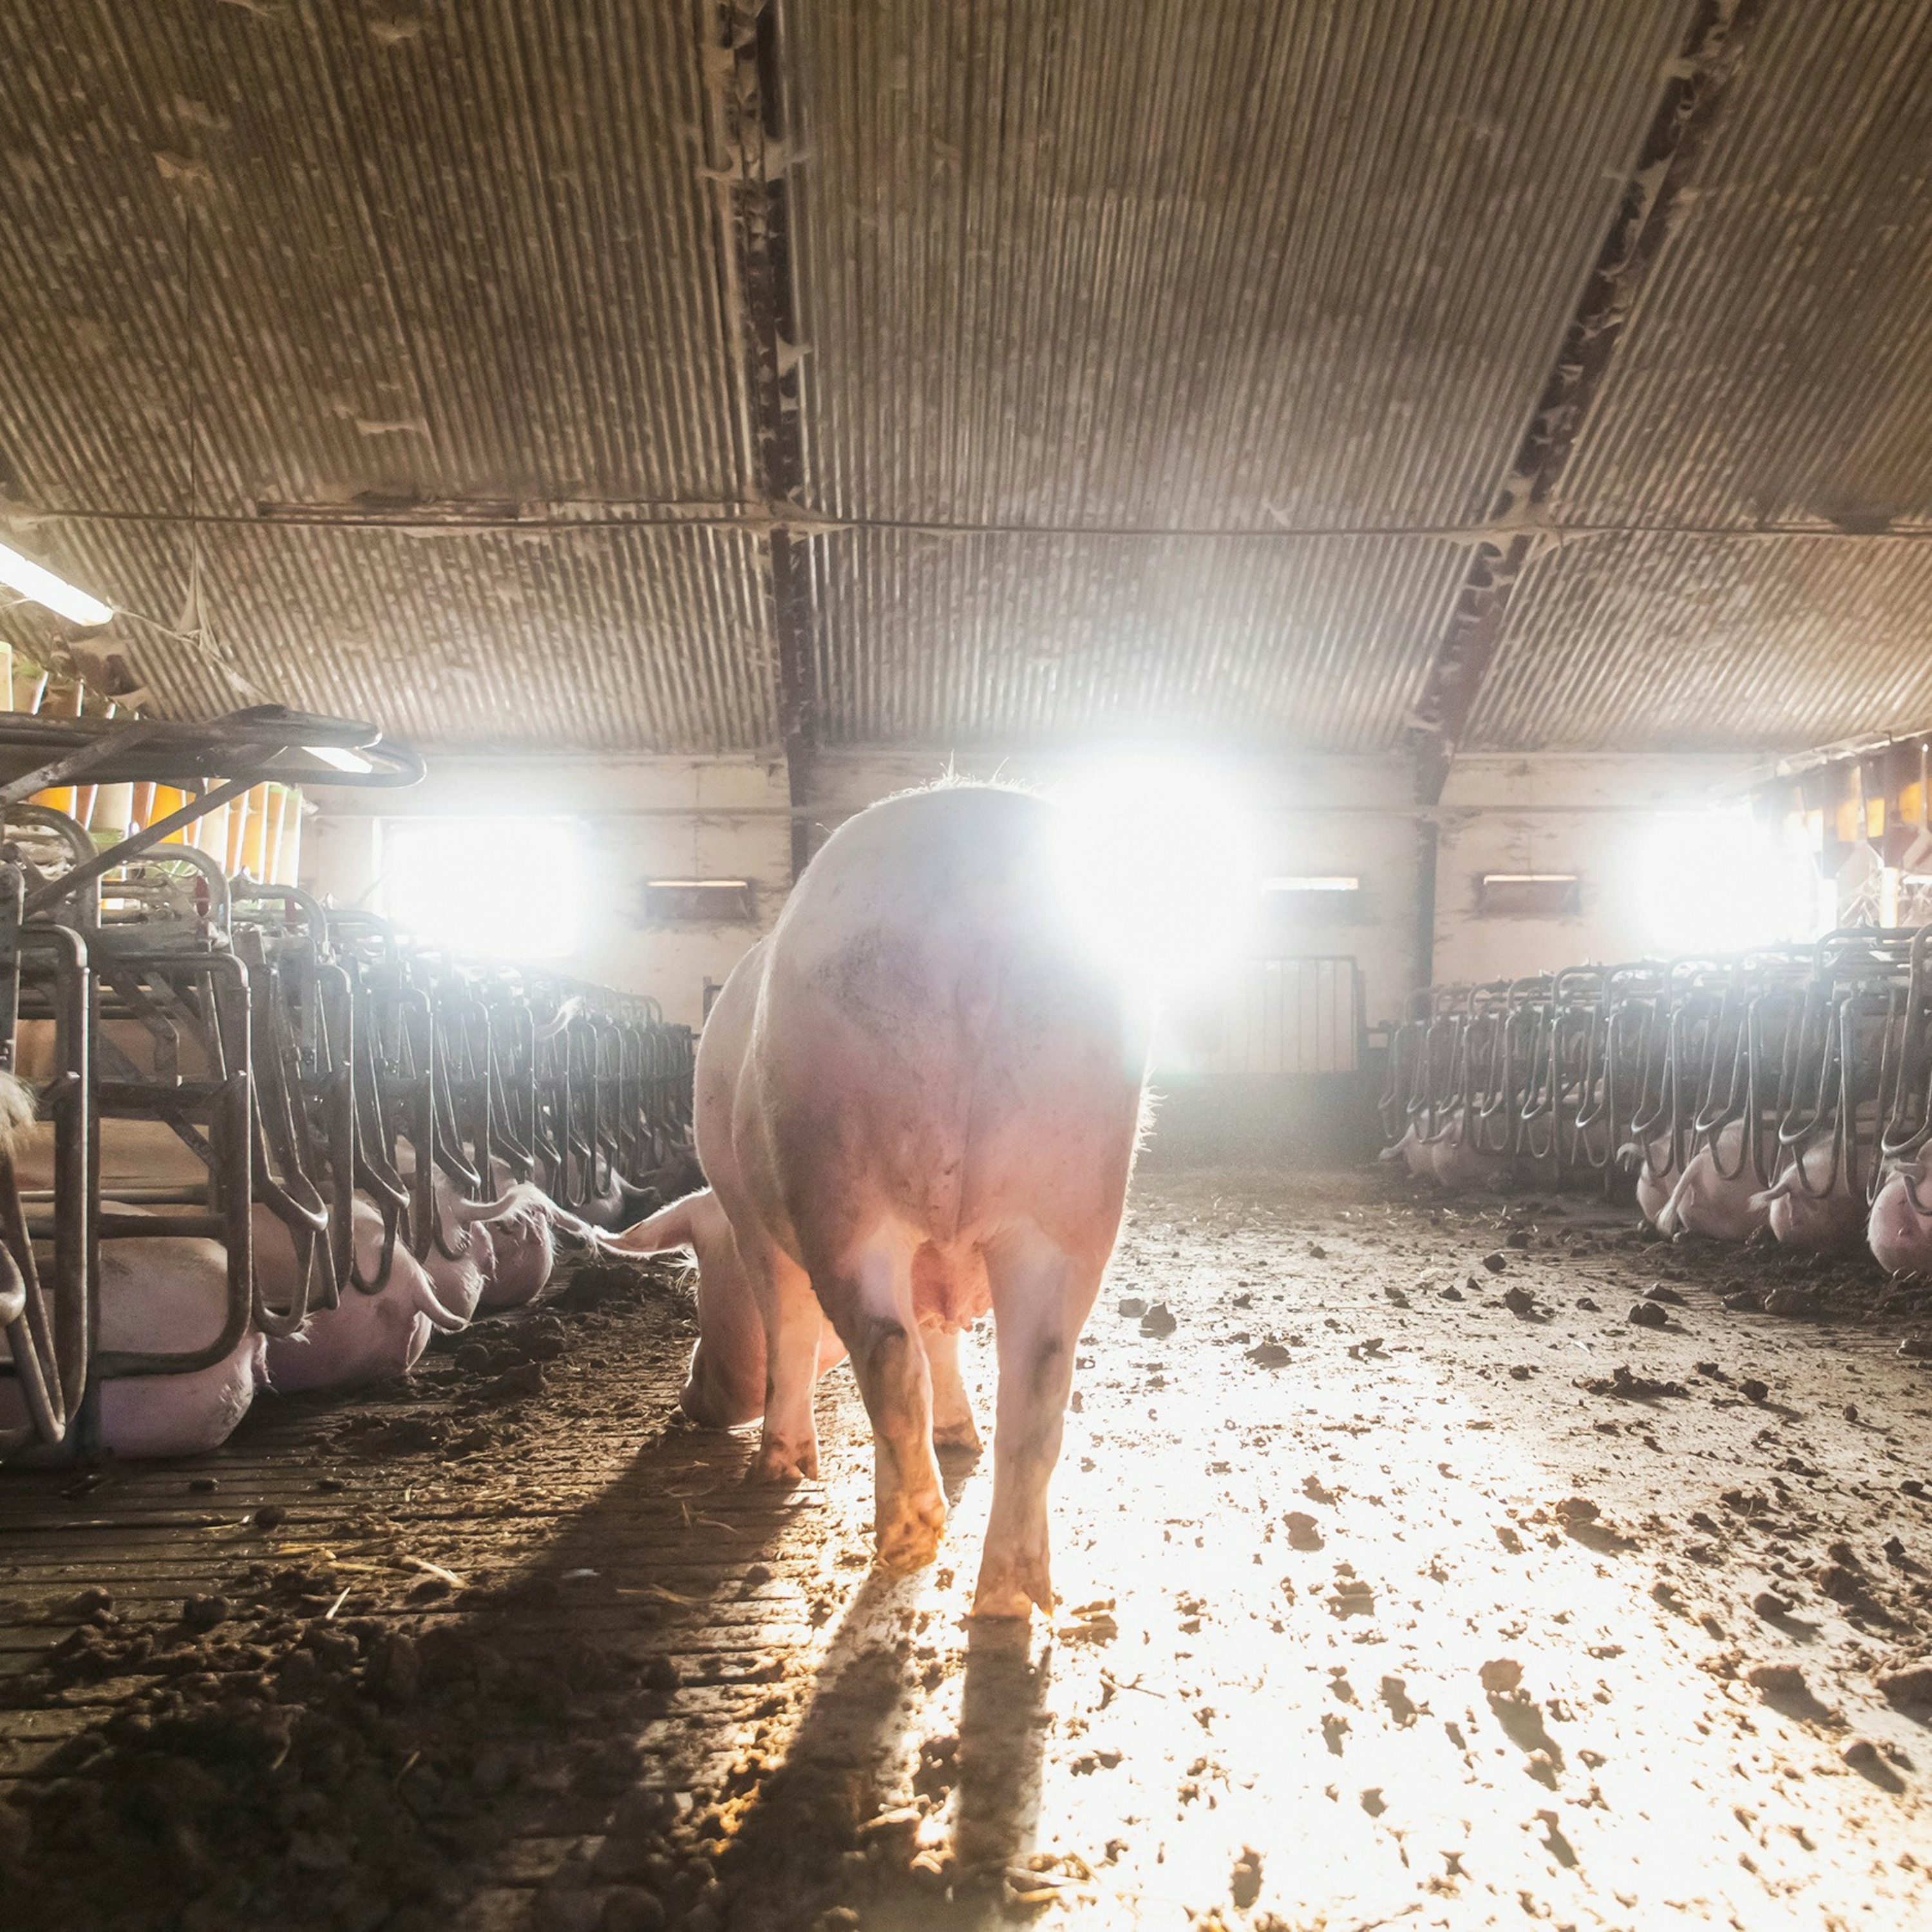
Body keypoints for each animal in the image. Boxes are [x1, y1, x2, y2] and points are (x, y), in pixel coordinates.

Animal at [623, 783, 1147, 1619]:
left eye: (697, 1276)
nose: (690, 1398)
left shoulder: (750, 1221)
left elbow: (790, 1330)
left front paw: (779, 1470)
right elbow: (943, 1334)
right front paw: (959, 1435)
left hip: (841, 1177)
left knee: (886, 1351)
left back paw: (902, 1544)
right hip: (1074, 1193)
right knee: (1036, 1384)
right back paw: (1006, 1595)